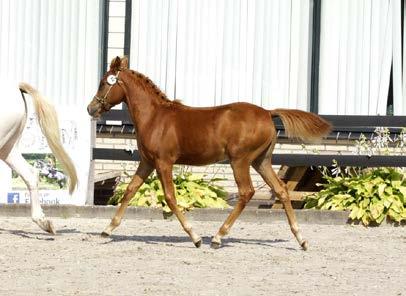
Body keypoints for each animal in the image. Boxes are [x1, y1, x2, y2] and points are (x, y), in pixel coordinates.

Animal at [88, 57, 330, 250]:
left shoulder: (163, 162)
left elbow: (170, 197)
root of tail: (267, 113)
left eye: (103, 83)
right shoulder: (147, 162)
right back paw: (301, 239)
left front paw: (195, 237)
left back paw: (218, 236)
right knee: (281, 190)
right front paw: (108, 228)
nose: (90, 108)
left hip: (240, 161)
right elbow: (130, 190)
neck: (155, 117)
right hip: (261, 161)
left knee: (246, 192)